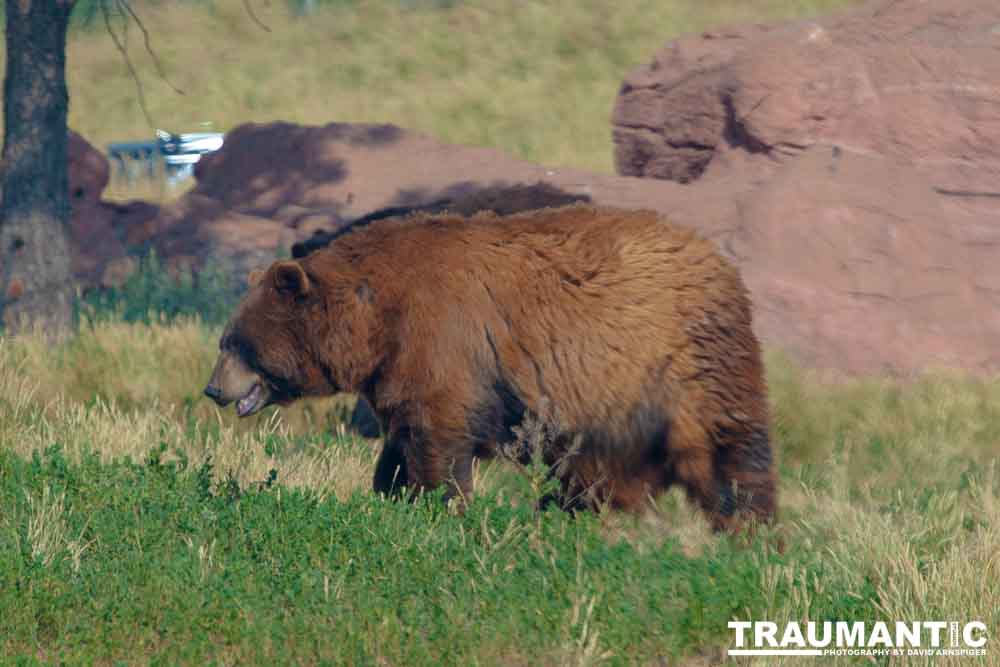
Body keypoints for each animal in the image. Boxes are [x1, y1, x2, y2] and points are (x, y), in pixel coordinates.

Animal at [203, 204, 776, 532]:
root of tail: (720, 261)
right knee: (596, 474)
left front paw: (439, 507)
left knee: (728, 452)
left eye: (235, 342)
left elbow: (439, 440)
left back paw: (750, 532)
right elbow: (403, 438)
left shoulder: (444, 341)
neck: (376, 316)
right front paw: (392, 494)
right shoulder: (399, 369)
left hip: (682, 362)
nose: (213, 389)